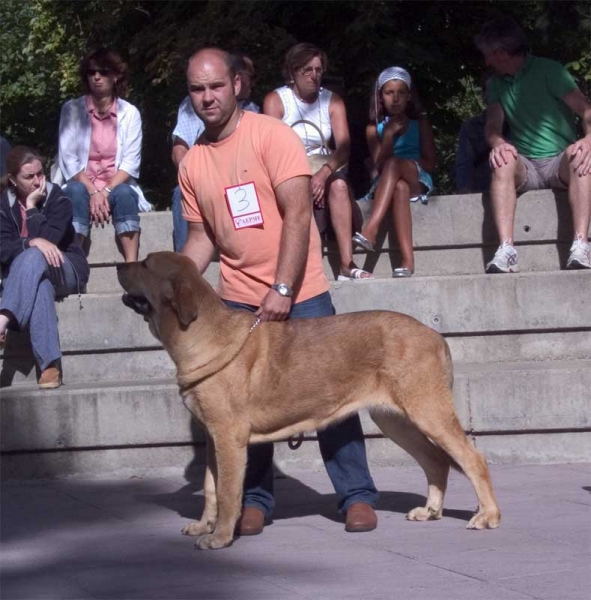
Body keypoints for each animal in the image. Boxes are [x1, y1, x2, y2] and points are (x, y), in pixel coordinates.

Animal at [118, 251, 502, 552]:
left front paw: (220, 538)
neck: (196, 332)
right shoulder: (213, 437)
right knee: (435, 461)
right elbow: (211, 487)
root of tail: (435, 334)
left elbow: (227, 493)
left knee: (472, 459)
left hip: (427, 410)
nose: (119, 265)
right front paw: (204, 525)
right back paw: (430, 511)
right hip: (395, 420)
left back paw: (487, 516)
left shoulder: (228, 437)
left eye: (146, 263)